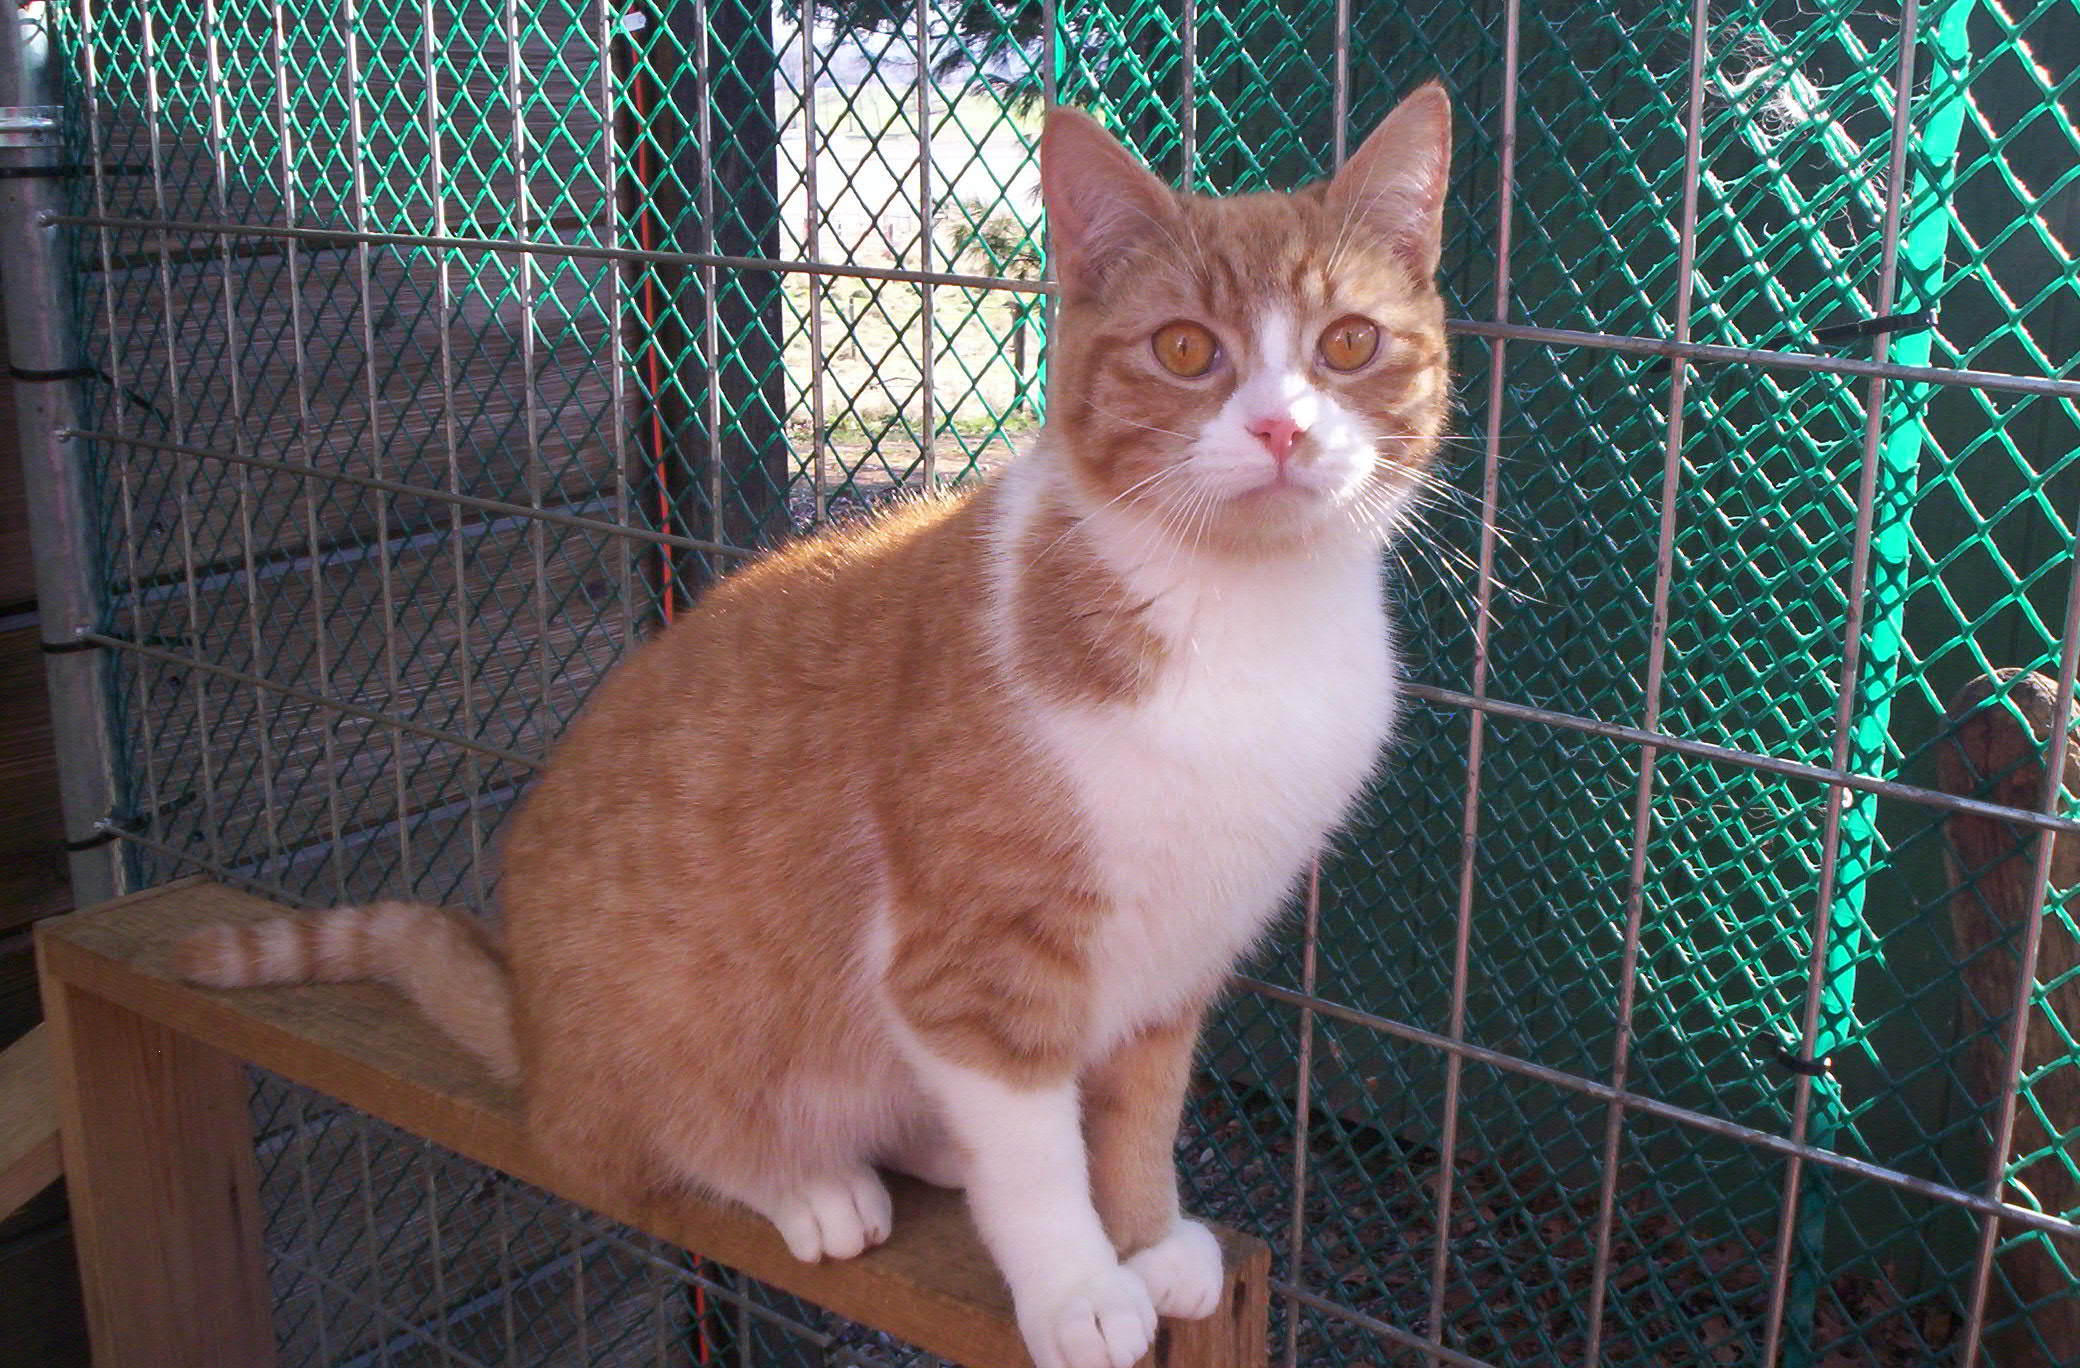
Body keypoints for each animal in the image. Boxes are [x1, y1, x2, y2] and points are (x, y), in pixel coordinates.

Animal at [174, 85, 1447, 1363]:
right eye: (1186, 350)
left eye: (1348, 344)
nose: (1281, 430)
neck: (1239, 618)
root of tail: (534, 1038)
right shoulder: (968, 963)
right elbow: (1034, 1155)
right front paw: (1080, 1287)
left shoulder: (1176, 957)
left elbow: (1138, 1117)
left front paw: (1143, 1235)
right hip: (663, 1040)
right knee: (639, 1144)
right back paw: (804, 1181)